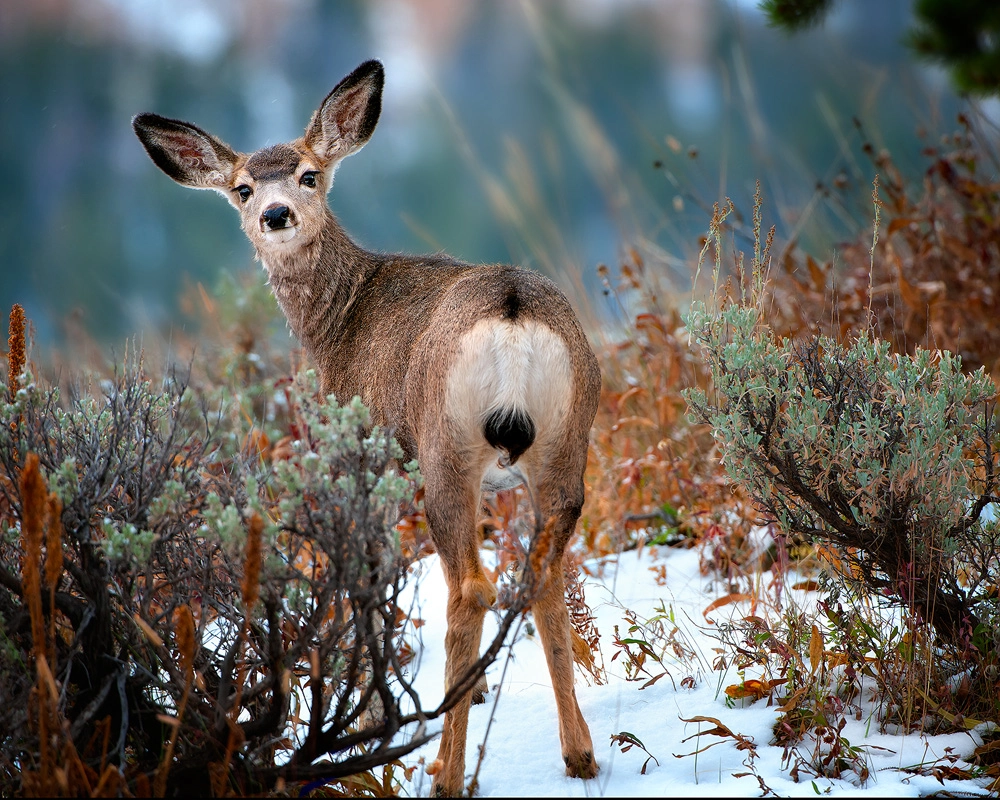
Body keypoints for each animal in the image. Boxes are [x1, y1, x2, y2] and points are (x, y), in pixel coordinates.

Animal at [132, 59, 601, 796]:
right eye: (242, 187)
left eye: (308, 174)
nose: (274, 214)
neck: (338, 323)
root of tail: (512, 310)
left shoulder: (364, 458)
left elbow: (369, 582)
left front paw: (373, 718)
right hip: (564, 443)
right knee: (544, 579)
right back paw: (579, 753)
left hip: (446, 448)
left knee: (471, 589)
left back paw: (445, 770)